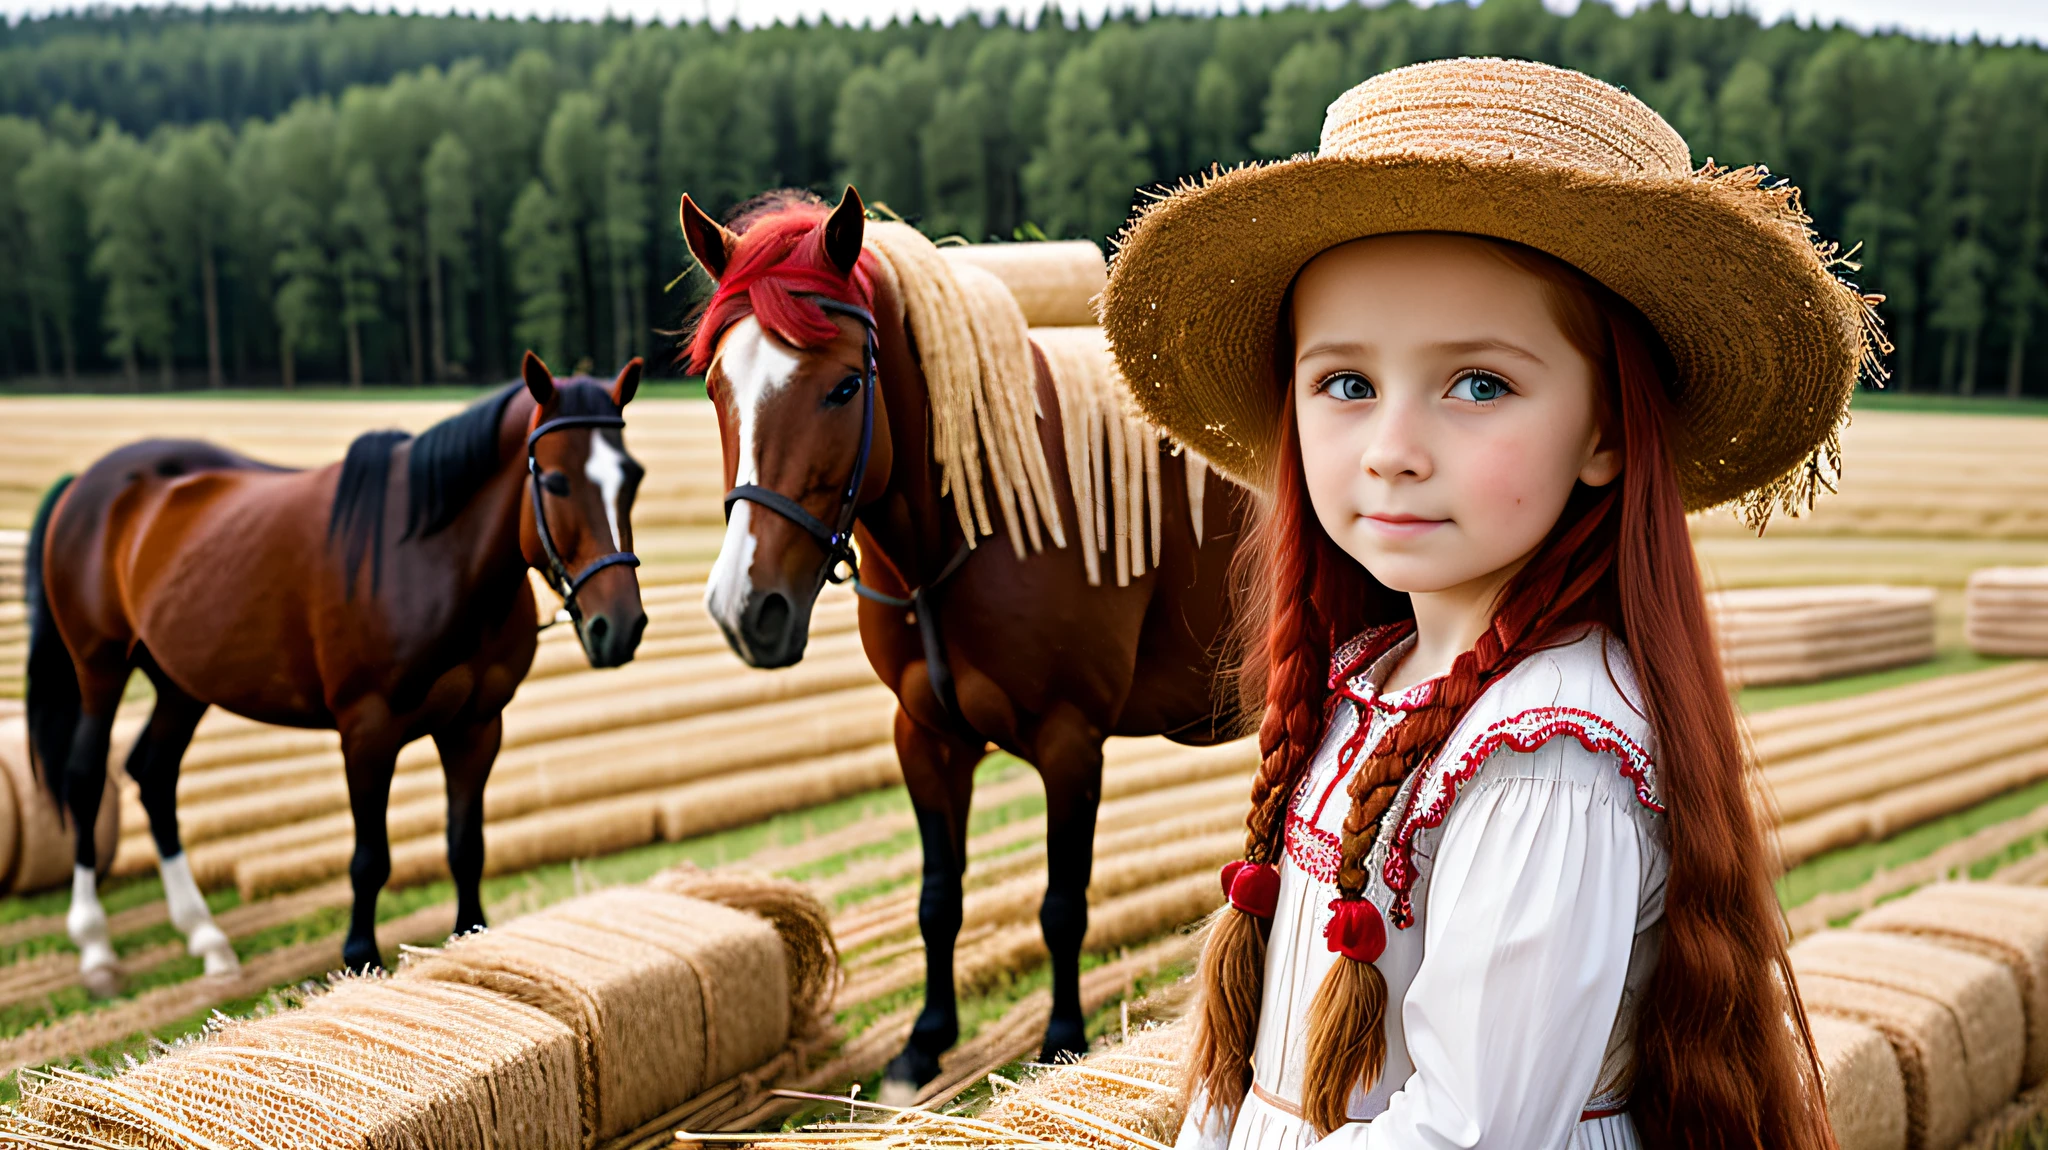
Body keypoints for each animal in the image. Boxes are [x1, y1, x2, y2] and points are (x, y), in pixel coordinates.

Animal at [24, 354, 643, 990]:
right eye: (555, 480)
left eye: (634, 477)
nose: (619, 626)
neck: (429, 561)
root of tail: (86, 485)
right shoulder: (367, 731)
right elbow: (370, 859)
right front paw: (359, 955)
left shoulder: (476, 725)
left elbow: (465, 845)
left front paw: (470, 938)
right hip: (98, 666)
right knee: (86, 779)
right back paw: (96, 947)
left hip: (180, 682)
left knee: (153, 774)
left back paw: (207, 939)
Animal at [684, 186, 1245, 1080]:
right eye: (715, 387)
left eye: (846, 386)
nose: (747, 605)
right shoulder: (923, 735)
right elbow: (937, 899)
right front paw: (926, 1038)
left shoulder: (1070, 741)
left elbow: (1061, 902)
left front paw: (1061, 1037)